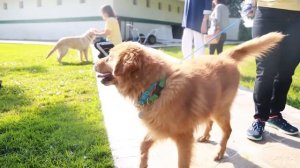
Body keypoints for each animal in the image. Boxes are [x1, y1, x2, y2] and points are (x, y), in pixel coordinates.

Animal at [94, 32, 284, 167]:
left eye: (109, 57)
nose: (94, 65)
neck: (157, 86)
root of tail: (225, 56)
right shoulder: (159, 126)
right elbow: (143, 145)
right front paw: (143, 163)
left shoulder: (183, 138)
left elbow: (181, 163)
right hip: (210, 105)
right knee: (209, 121)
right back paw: (205, 136)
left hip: (220, 111)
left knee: (227, 130)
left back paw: (219, 153)